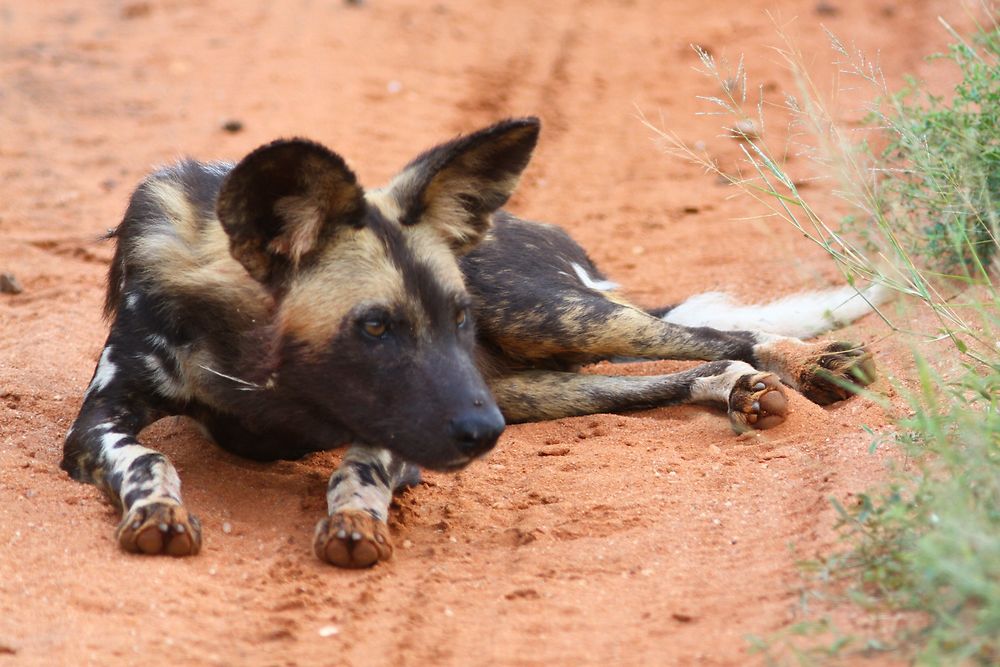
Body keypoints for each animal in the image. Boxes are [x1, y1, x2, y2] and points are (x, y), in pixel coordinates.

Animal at [62, 118, 876, 568]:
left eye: (454, 317)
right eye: (375, 326)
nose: (478, 431)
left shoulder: (409, 425)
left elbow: (357, 467)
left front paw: (355, 520)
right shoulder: (94, 429)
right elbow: (149, 456)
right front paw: (157, 512)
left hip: (543, 320)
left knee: (720, 331)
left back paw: (810, 367)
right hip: (528, 388)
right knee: (686, 364)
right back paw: (742, 387)